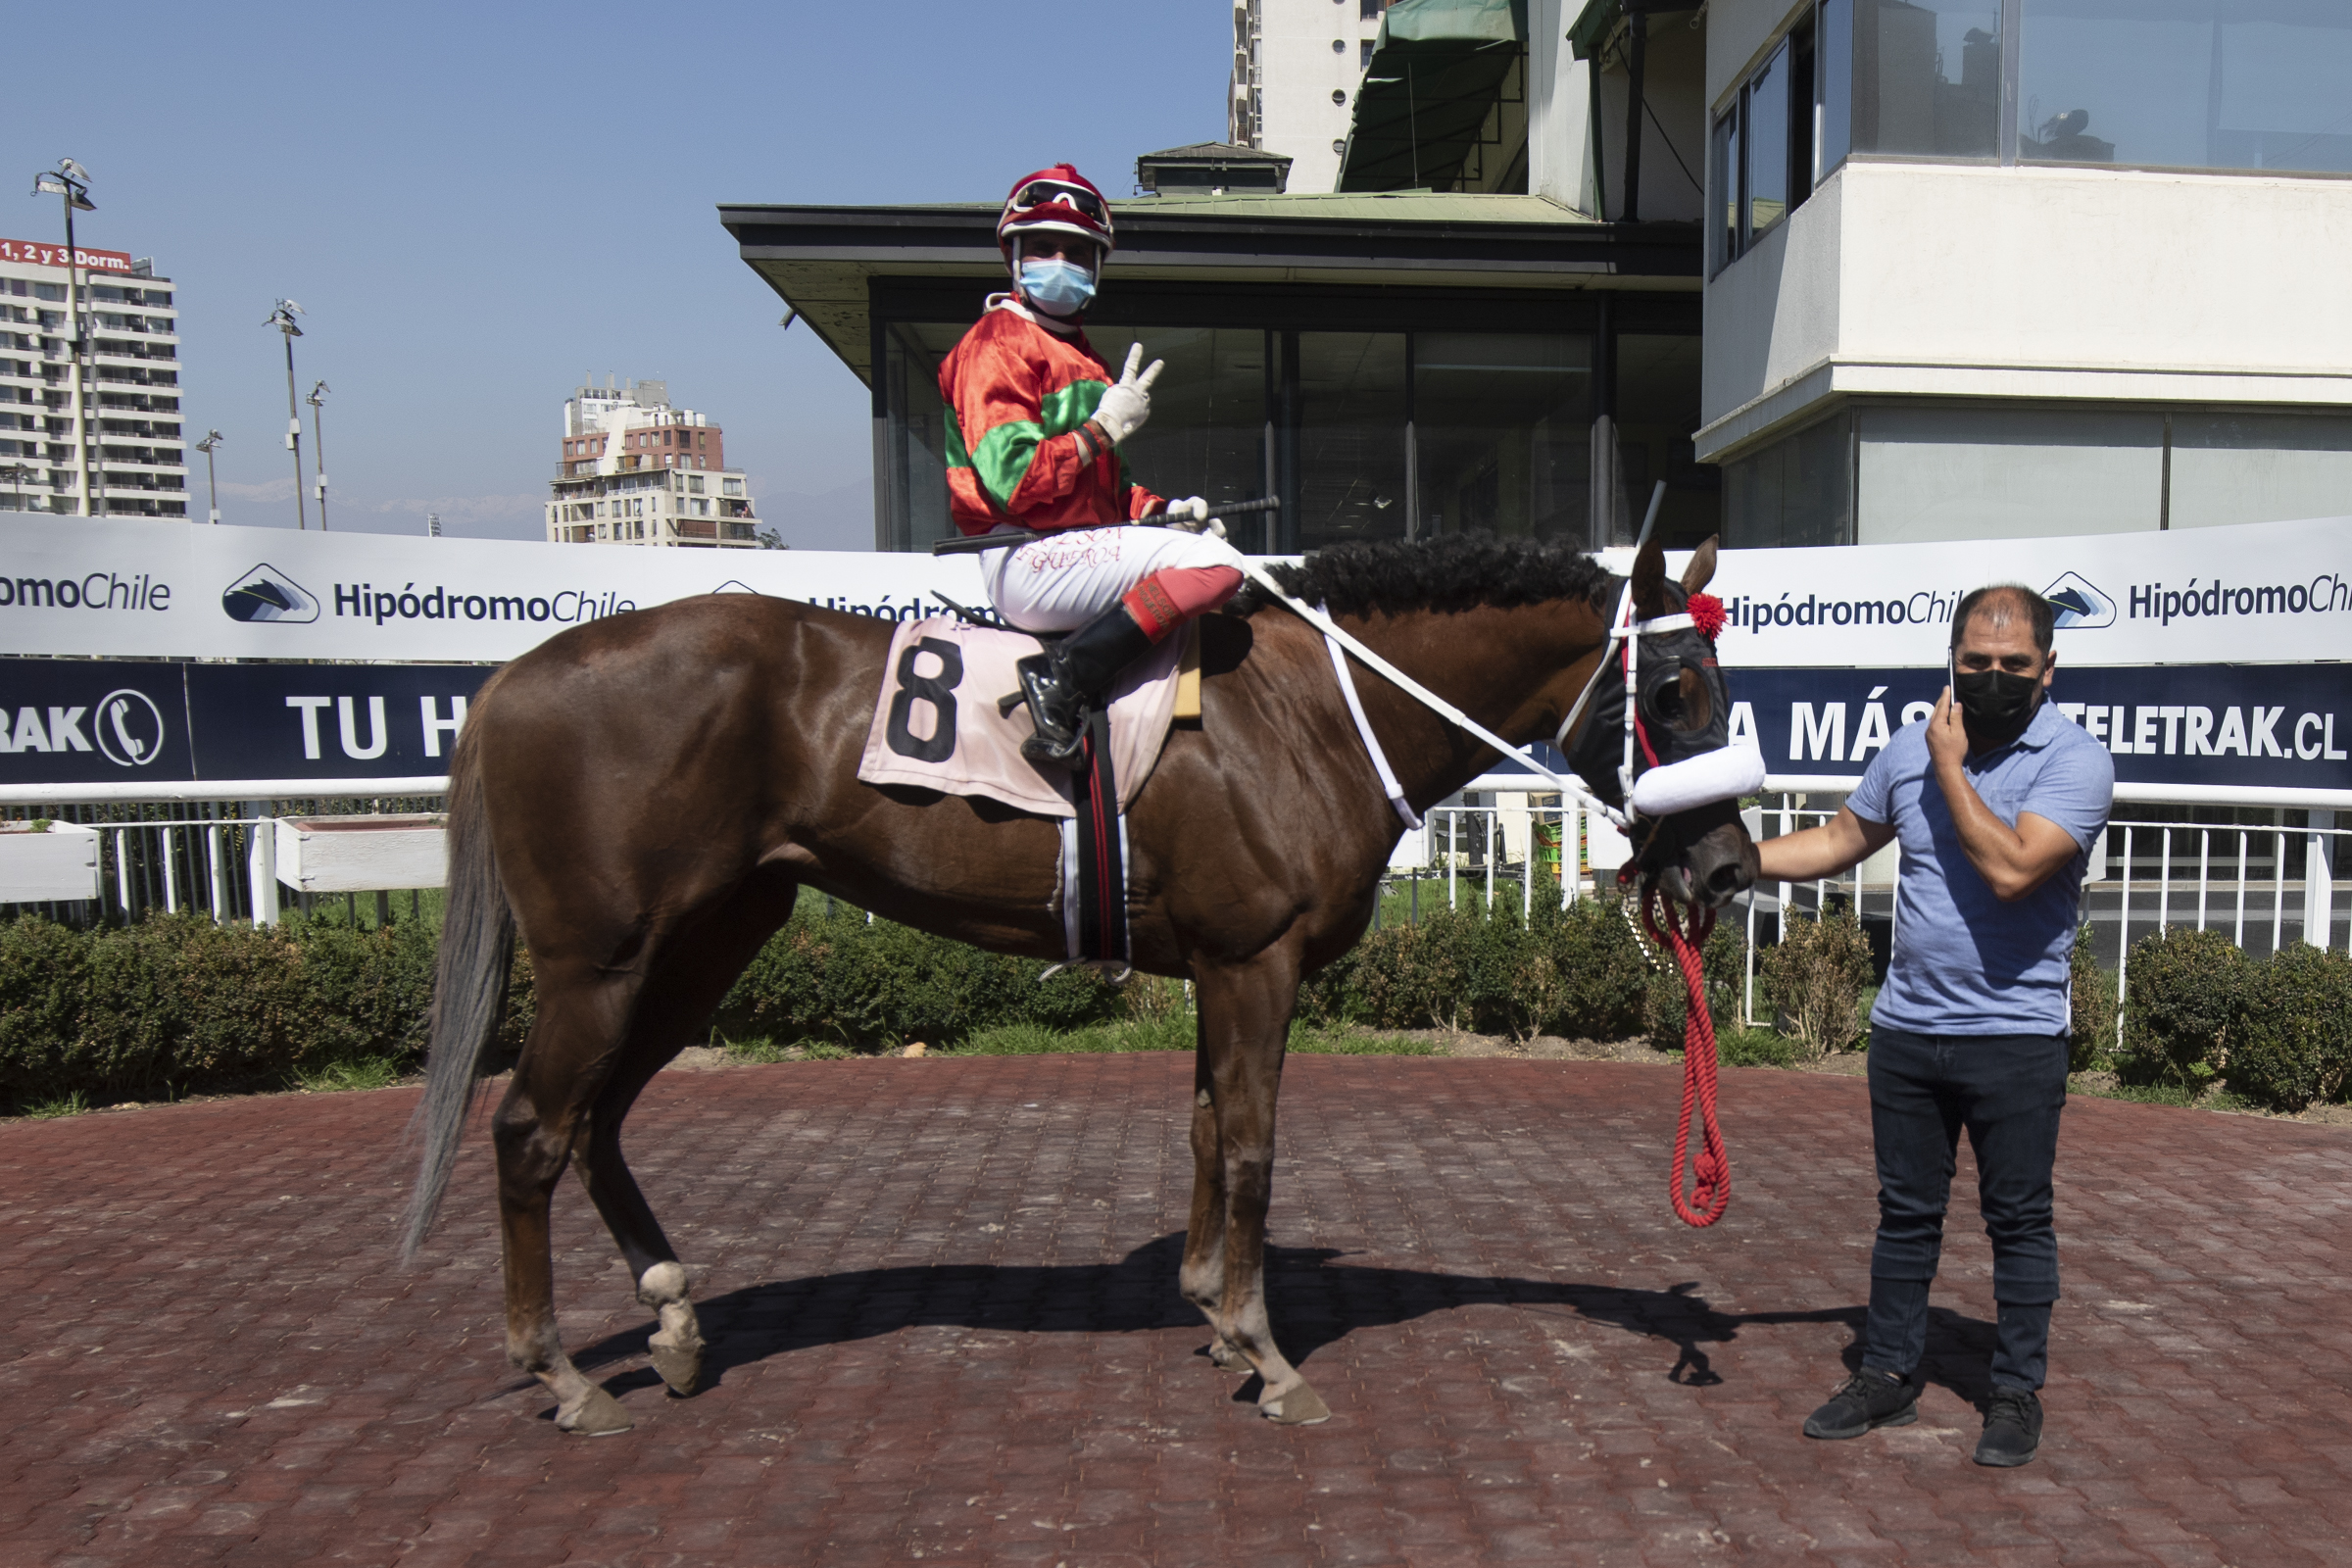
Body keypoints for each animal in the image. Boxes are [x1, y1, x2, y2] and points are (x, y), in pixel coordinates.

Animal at [401, 530, 1759, 1436]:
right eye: (1677, 689)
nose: (1733, 868)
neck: (1308, 710)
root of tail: (511, 678)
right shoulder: (1254, 959)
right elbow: (1251, 1143)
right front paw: (1265, 1351)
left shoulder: (1217, 963)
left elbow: (1207, 1127)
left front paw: (1210, 1313)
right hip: (604, 960)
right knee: (532, 1130)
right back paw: (564, 1375)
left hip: (711, 935)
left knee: (600, 1120)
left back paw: (675, 1321)